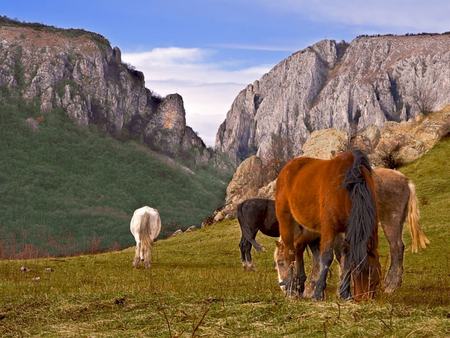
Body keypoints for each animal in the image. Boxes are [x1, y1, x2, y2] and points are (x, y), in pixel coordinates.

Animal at [276, 151, 382, 302]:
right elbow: (326, 257)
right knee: (289, 251)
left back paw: (299, 286)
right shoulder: (329, 228)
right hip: (286, 220)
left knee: (298, 248)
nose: (364, 299)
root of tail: (287, 167)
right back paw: (292, 288)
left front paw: (345, 293)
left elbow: (346, 258)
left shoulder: (347, 230)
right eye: (364, 272)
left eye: (375, 279)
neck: (348, 188)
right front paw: (318, 293)